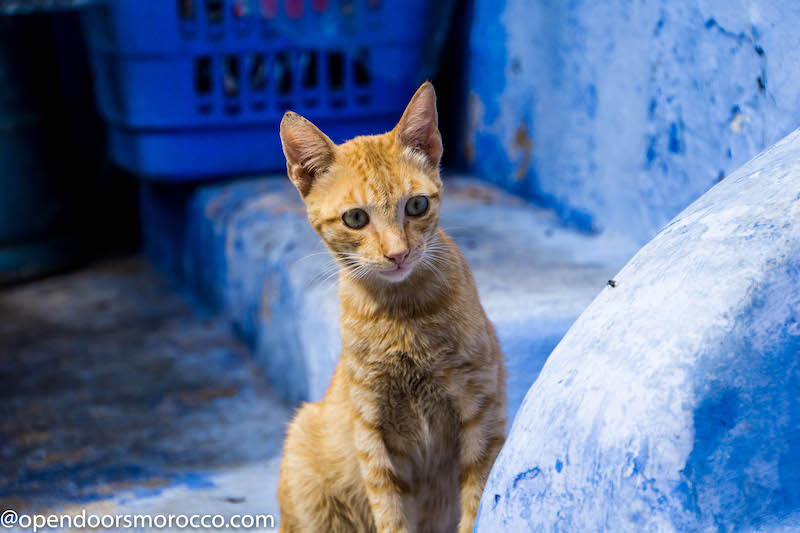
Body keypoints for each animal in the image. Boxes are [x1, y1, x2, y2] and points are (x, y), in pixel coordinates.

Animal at [278, 80, 506, 532]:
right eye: (355, 218)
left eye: (417, 205)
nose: (398, 254)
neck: (403, 316)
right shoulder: (374, 436)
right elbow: (392, 514)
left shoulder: (481, 415)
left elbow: (474, 504)